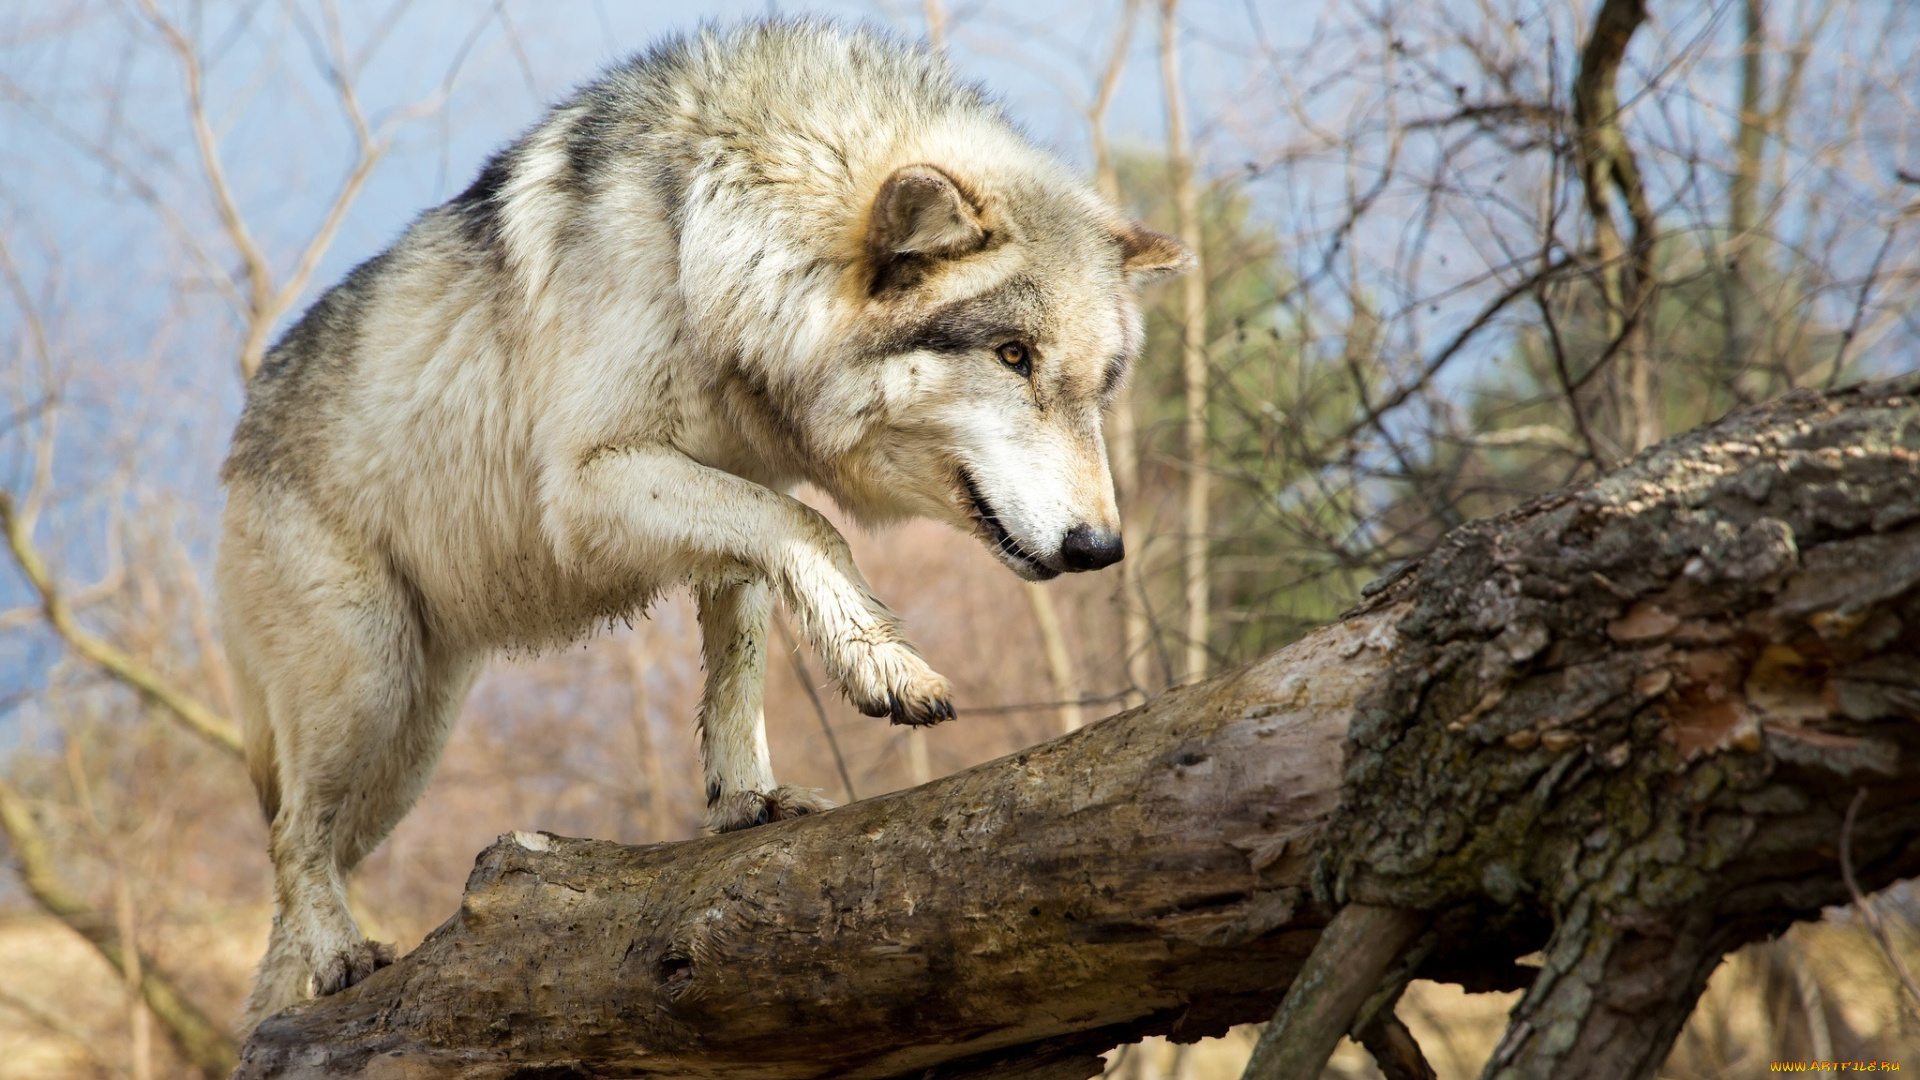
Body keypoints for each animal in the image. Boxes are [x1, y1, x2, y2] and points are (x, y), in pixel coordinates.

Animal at [220, 18, 1182, 1022]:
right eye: (1012, 355)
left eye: (1101, 385)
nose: (1102, 547)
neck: (709, 247)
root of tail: (237, 444)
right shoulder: (592, 486)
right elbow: (816, 534)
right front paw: (883, 668)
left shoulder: (733, 492)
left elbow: (742, 657)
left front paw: (744, 799)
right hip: (368, 694)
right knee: (289, 836)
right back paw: (339, 957)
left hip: (410, 747)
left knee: (297, 875)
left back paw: (280, 1010)